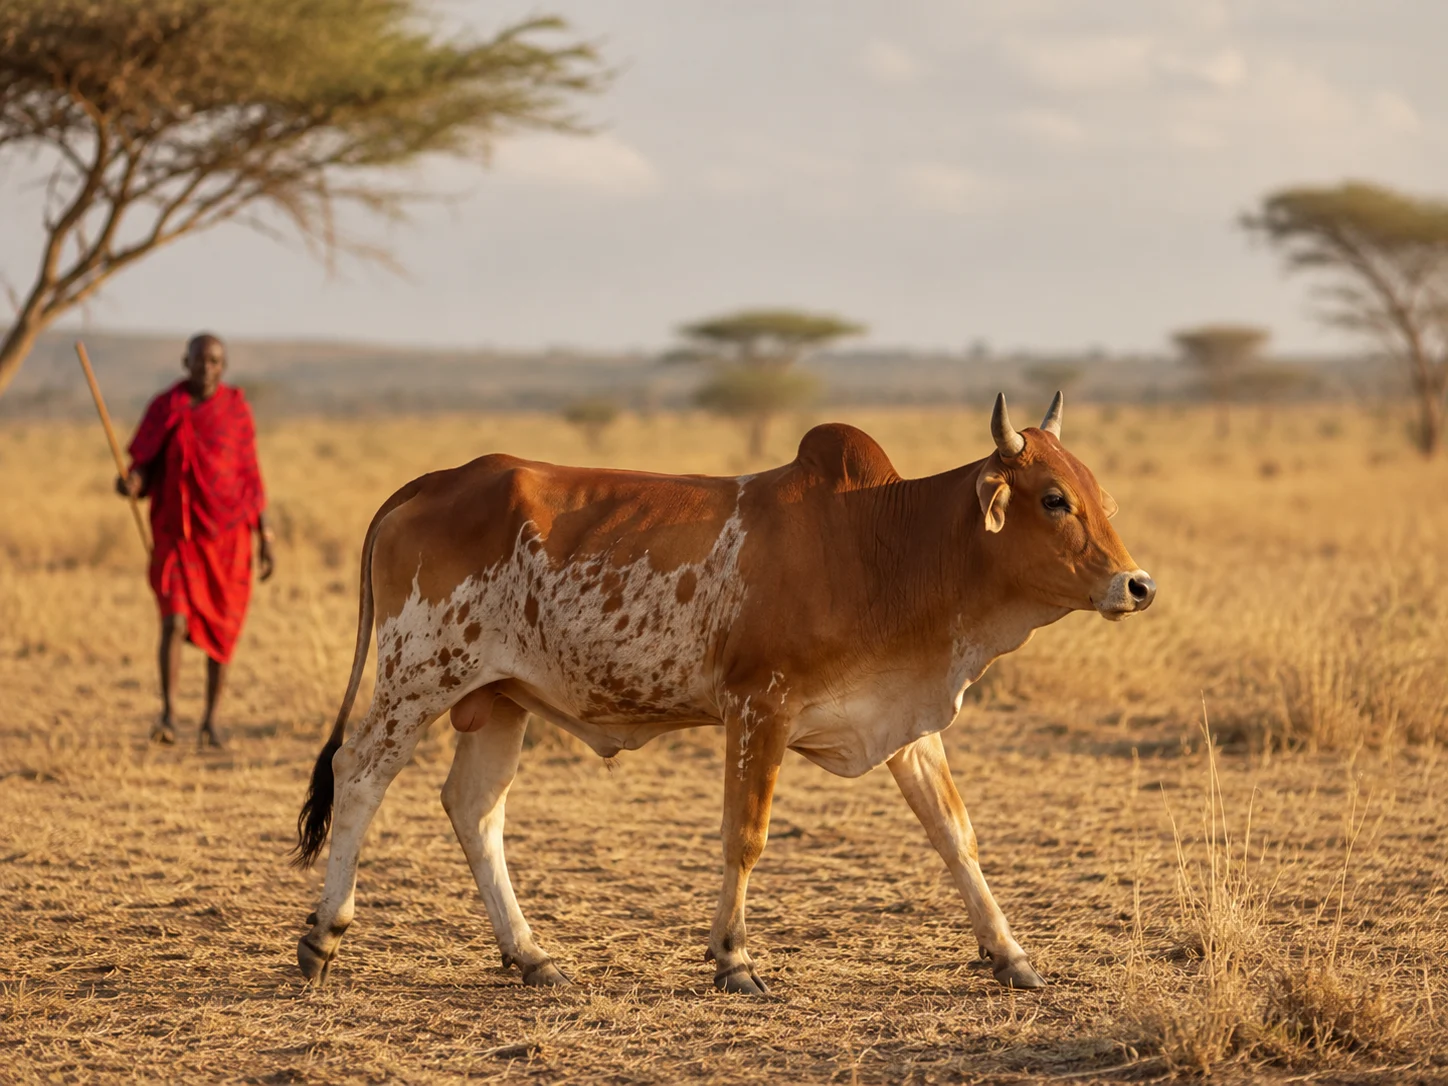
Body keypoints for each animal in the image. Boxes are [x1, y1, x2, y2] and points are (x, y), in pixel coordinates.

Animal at [292, 393, 1155, 993]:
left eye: (1100, 497)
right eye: (1053, 499)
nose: (1136, 584)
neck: (885, 546)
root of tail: (437, 480)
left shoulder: (903, 720)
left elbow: (955, 834)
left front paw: (1011, 954)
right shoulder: (758, 706)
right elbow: (746, 837)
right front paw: (733, 960)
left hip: (498, 698)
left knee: (474, 809)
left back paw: (531, 955)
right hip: (419, 674)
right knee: (359, 775)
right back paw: (325, 934)